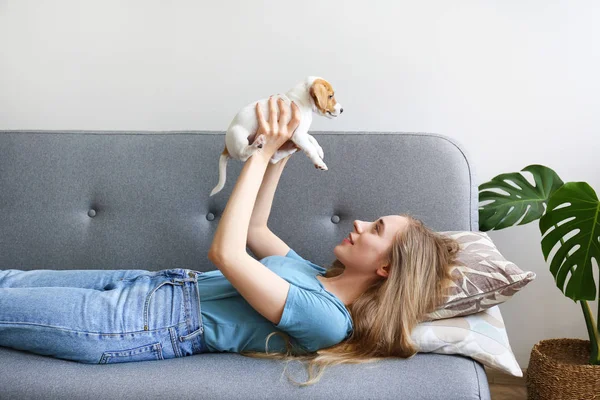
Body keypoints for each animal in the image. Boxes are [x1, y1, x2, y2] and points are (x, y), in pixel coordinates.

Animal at [210, 76, 342, 196]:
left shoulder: (301, 133)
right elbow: (310, 149)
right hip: (238, 136)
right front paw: (319, 162)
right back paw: (256, 144)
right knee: (244, 153)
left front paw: (320, 150)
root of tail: (226, 147)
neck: (300, 100)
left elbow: (312, 138)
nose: (342, 110)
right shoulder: (298, 135)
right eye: (330, 96)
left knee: (274, 158)